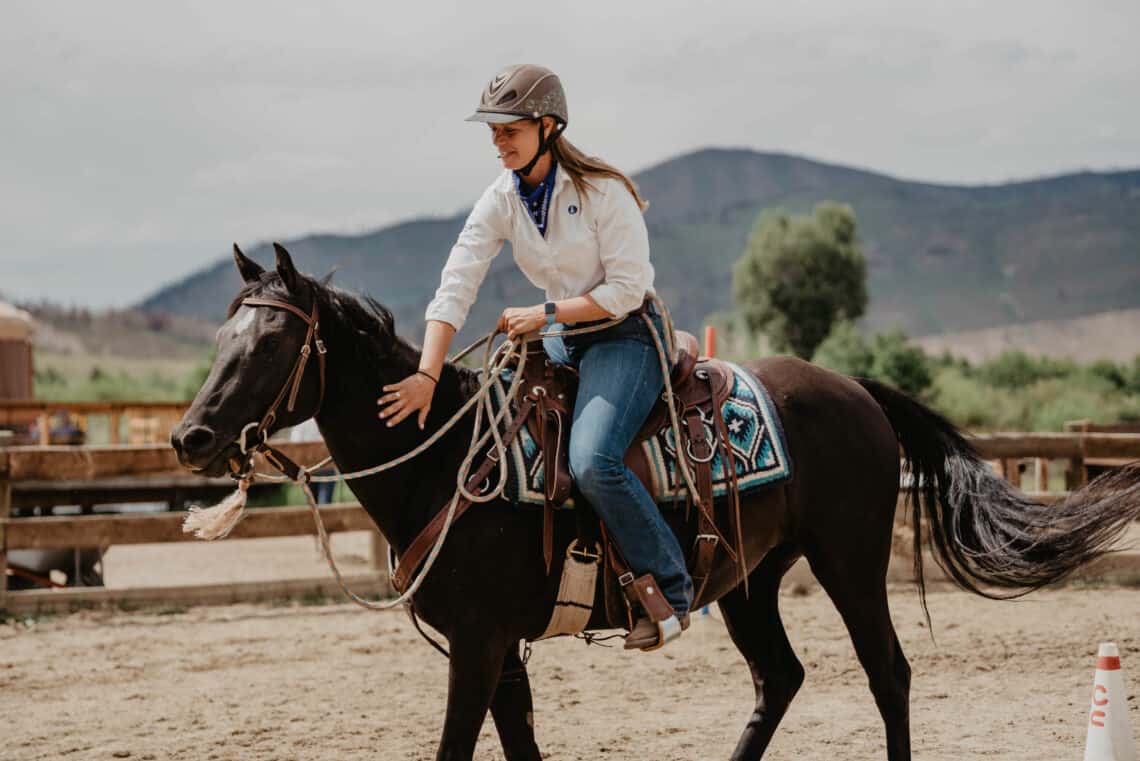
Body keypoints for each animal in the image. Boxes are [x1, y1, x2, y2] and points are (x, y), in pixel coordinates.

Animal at [171, 243, 1140, 761]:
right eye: (222, 335)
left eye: (270, 344)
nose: (190, 436)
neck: (450, 459)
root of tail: (855, 388)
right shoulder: (499, 646)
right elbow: (519, 743)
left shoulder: (477, 644)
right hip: (751, 578)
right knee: (780, 676)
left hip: (851, 562)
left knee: (887, 671)